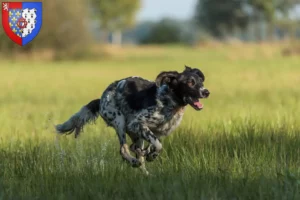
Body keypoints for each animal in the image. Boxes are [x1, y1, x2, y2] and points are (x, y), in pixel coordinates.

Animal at [56, 65, 211, 173]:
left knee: (135, 151)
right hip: (120, 122)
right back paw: (134, 162)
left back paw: (145, 171)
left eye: (201, 82)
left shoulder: (158, 131)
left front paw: (148, 154)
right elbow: (158, 146)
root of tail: (101, 99)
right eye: (190, 83)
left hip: (136, 135)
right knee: (124, 150)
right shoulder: (137, 124)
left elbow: (154, 144)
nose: (206, 92)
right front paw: (152, 155)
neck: (170, 102)